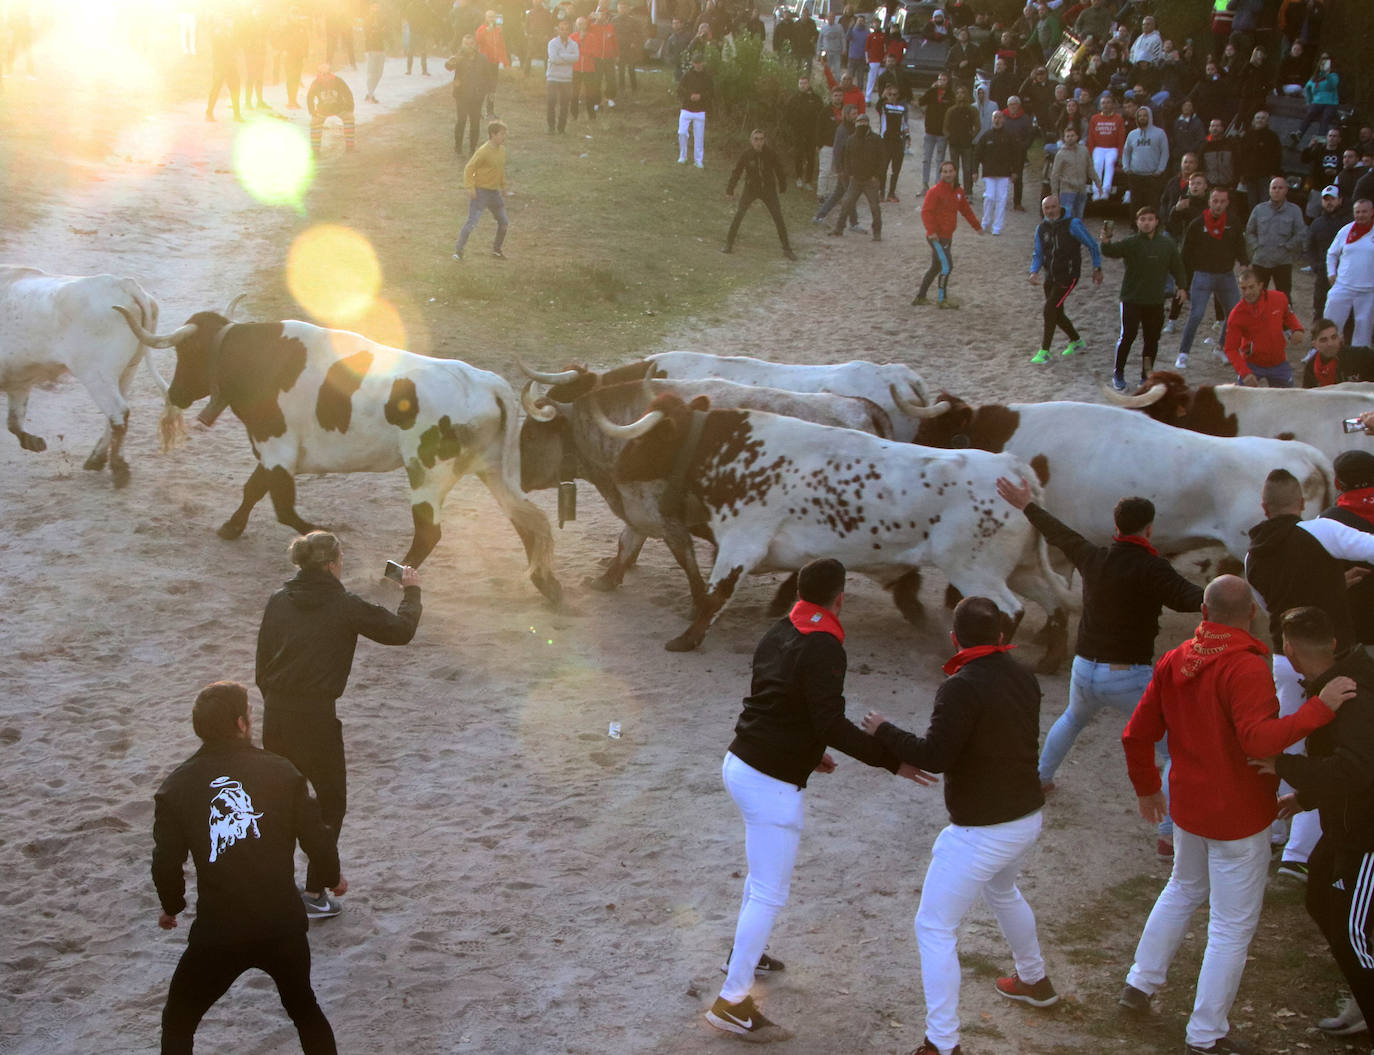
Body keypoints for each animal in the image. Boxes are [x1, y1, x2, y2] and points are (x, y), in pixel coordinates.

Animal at [1, 263, 184, 486]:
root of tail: (123, 284)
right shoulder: (19, 380)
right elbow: (14, 421)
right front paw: (34, 442)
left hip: (96, 374)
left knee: (118, 412)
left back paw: (118, 468)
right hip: (127, 370)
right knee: (116, 413)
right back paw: (97, 459)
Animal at [115, 304, 560, 601]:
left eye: (187, 353)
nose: (175, 393)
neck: (258, 359)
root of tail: (488, 384)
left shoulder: (276, 450)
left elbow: (283, 508)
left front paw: (320, 538)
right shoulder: (273, 452)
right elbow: (253, 490)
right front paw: (231, 527)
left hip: (427, 475)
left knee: (430, 532)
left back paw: (391, 577)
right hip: (493, 470)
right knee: (527, 521)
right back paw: (546, 582)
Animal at [596, 395, 1077, 659]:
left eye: (647, 438)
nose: (616, 467)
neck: (734, 451)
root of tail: (1014, 470)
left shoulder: (740, 543)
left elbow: (714, 596)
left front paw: (686, 639)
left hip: (975, 571)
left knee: (1010, 610)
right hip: (1022, 568)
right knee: (1055, 604)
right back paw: (1048, 661)